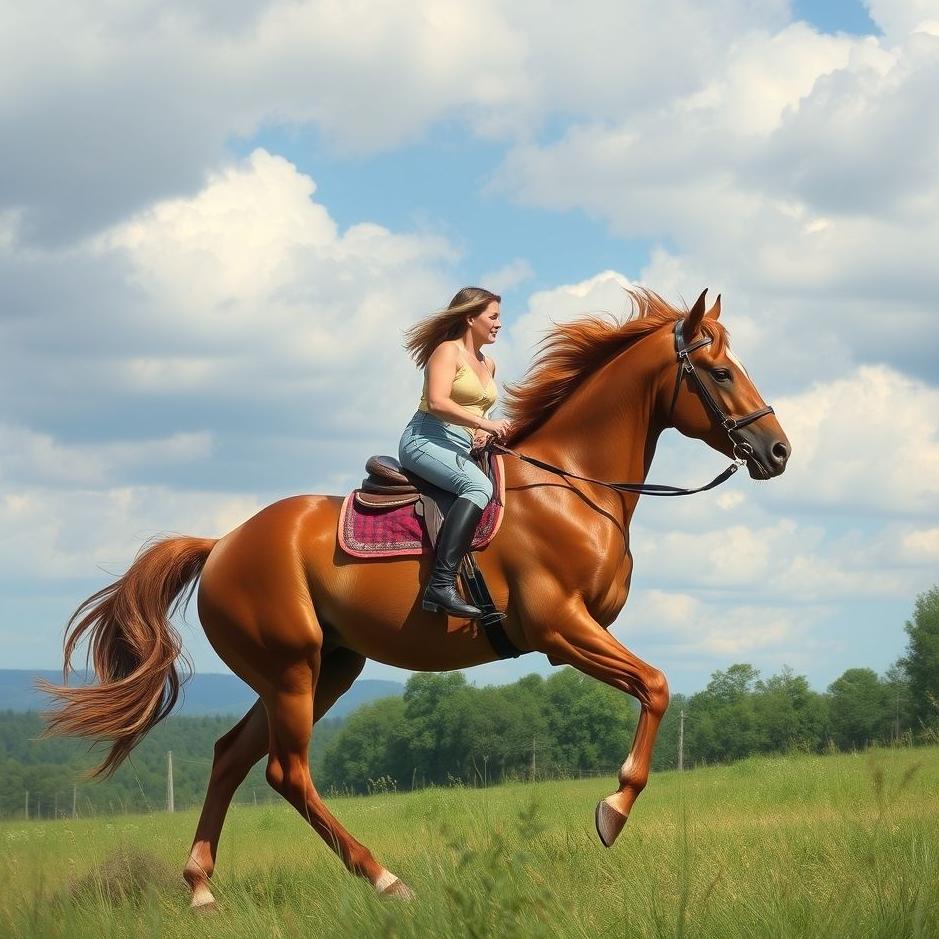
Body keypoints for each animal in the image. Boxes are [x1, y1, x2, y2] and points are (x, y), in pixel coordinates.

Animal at [40, 288, 790, 907]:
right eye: (721, 372)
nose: (778, 450)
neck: (574, 484)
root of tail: (221, 544)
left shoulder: (574, 631)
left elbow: (653, 688)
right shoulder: (561, 629)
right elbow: (656, 686)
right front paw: (613, 809)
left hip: (325, 669)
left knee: (231, 755)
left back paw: (201, 888)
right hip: (291, 669)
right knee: (286, 771)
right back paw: (384, 878)